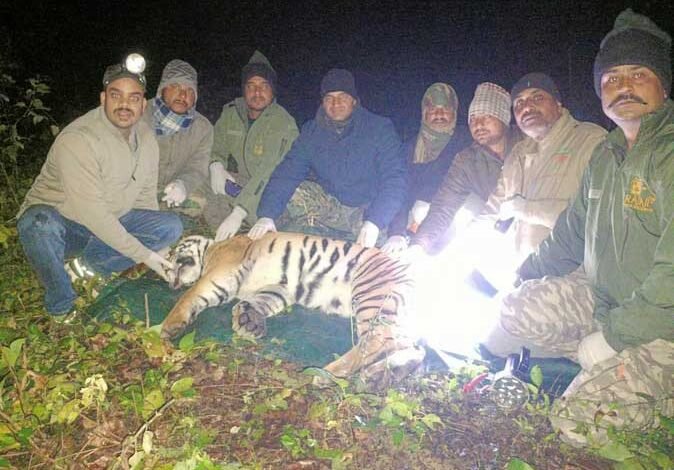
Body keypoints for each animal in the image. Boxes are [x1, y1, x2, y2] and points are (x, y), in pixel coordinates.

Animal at [161, 233, 425, 387]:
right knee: (412, 349)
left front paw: (168, 328)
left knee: (377, 341)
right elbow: (262, 302)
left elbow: (188, 297)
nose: (167, 275)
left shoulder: (218, 275)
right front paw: (248, 321)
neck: (211, 249)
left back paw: (326, 375)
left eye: (174, 252)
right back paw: (382, 376)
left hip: (372, 294)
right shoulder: (280, 288)